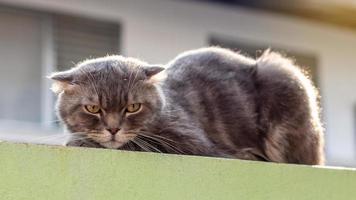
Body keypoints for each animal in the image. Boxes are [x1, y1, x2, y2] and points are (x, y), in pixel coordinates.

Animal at [50, 47, 326, 166]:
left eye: (133, 107)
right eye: (93, 109)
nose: (113, 129)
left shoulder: (190, 143)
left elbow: (142, 144)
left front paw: (79, 141)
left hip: (282, 76)